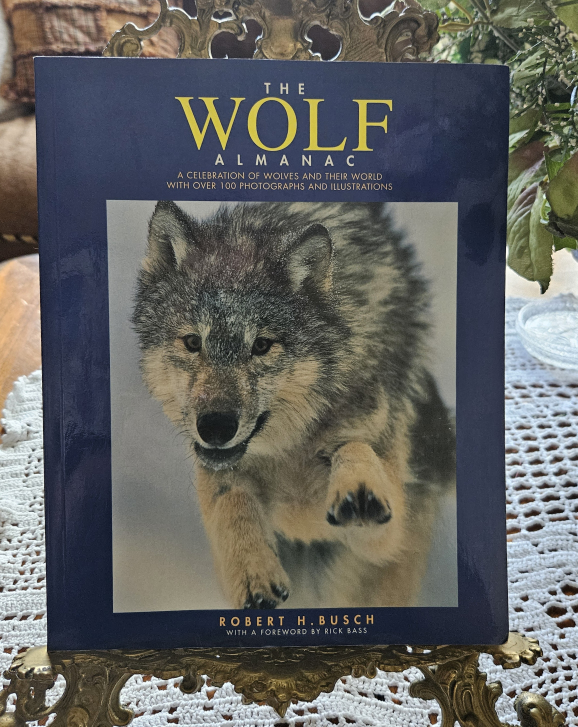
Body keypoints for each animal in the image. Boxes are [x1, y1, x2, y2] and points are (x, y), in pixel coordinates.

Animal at [132, 201, 455, 609]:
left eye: (262, 345)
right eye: (192, 342)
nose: (216, 427)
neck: (292, 447)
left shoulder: (385, 533)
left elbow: (354, 447)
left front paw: (360, 487)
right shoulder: (218, 476)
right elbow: (230, 496)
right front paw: (253, 571)